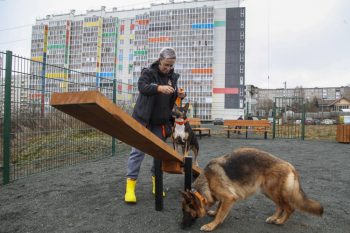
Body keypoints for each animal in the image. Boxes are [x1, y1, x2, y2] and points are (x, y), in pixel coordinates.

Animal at [182, 147, 324, 231]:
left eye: (186, 212)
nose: (182, 227)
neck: (207, 180)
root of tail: (289, 165)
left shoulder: (229, 197)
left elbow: (221, 213)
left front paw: (211, 225)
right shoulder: (224, 198)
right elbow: (219, 208)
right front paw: (214, 213)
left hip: (273, 192)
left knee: (289, 208)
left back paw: (280, 221)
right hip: (268, 192)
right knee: (280, 206)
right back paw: (273, 218)